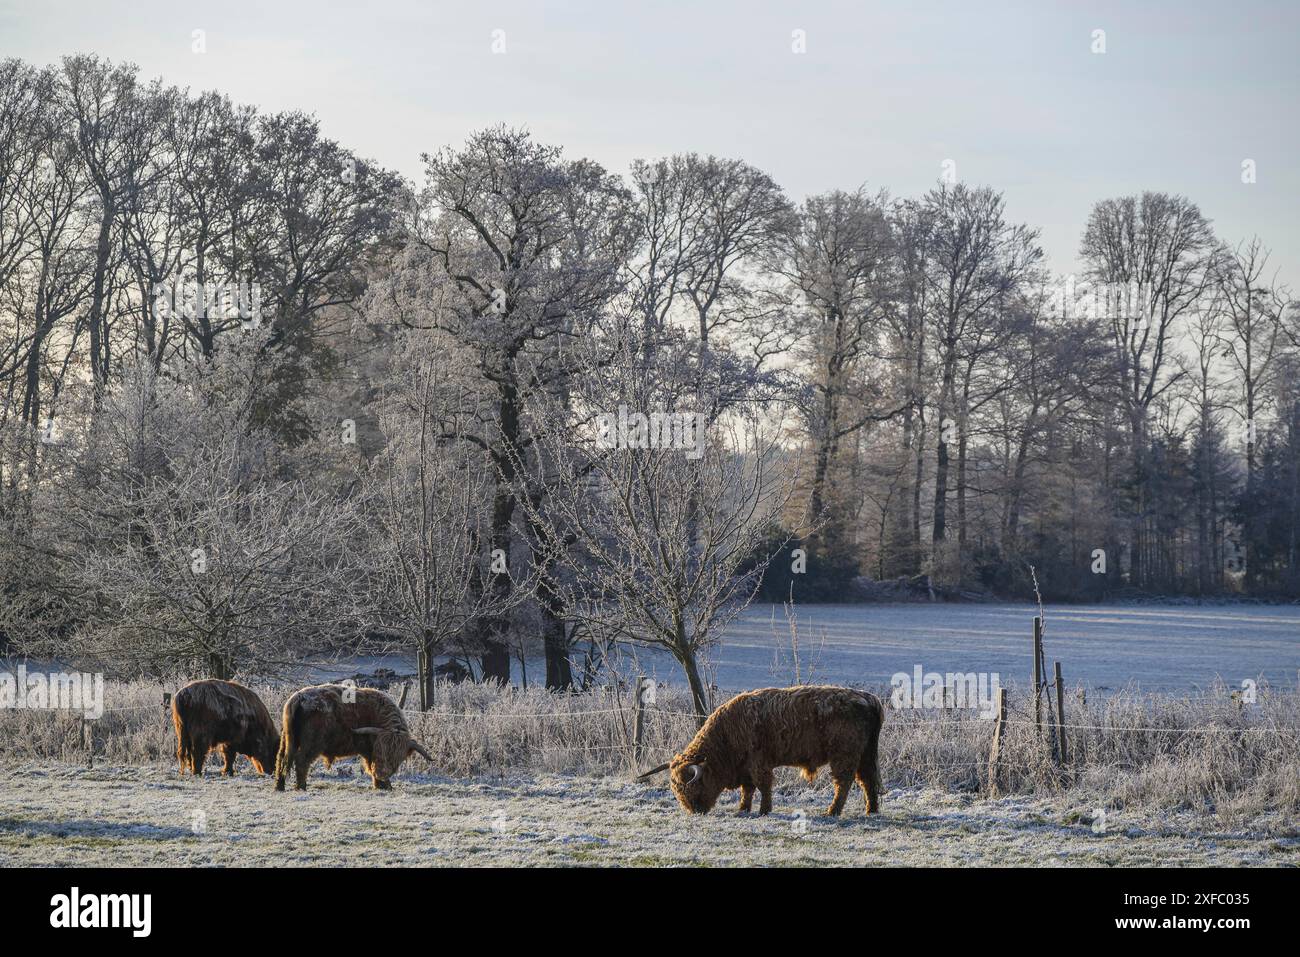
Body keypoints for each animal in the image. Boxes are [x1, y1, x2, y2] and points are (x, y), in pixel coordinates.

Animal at [274, 686, 436, 790]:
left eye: (396, 758)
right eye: (381, 751)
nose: (382, 774)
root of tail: (300, 697)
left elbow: (370, 766)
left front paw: (382, 785)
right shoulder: (369, 750)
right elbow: (370, 765)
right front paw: (384, 785)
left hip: (288, 739)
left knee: (282, 759)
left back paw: (279, 786)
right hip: (312, 742)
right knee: (301, 760)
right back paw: (301, 787)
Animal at [639, 686, 883, 816]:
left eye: (694, 785)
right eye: (676, 790)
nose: (694, 810)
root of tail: (868, 698)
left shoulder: (758, 763)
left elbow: (762, 785)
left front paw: (764, 810)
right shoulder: (745, 767)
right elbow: (747, 789)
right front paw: (743, 808)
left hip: (844, 756)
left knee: (844, 782)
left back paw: (832, 811)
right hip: (866, 755)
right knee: (868, 780)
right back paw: (871, 810)